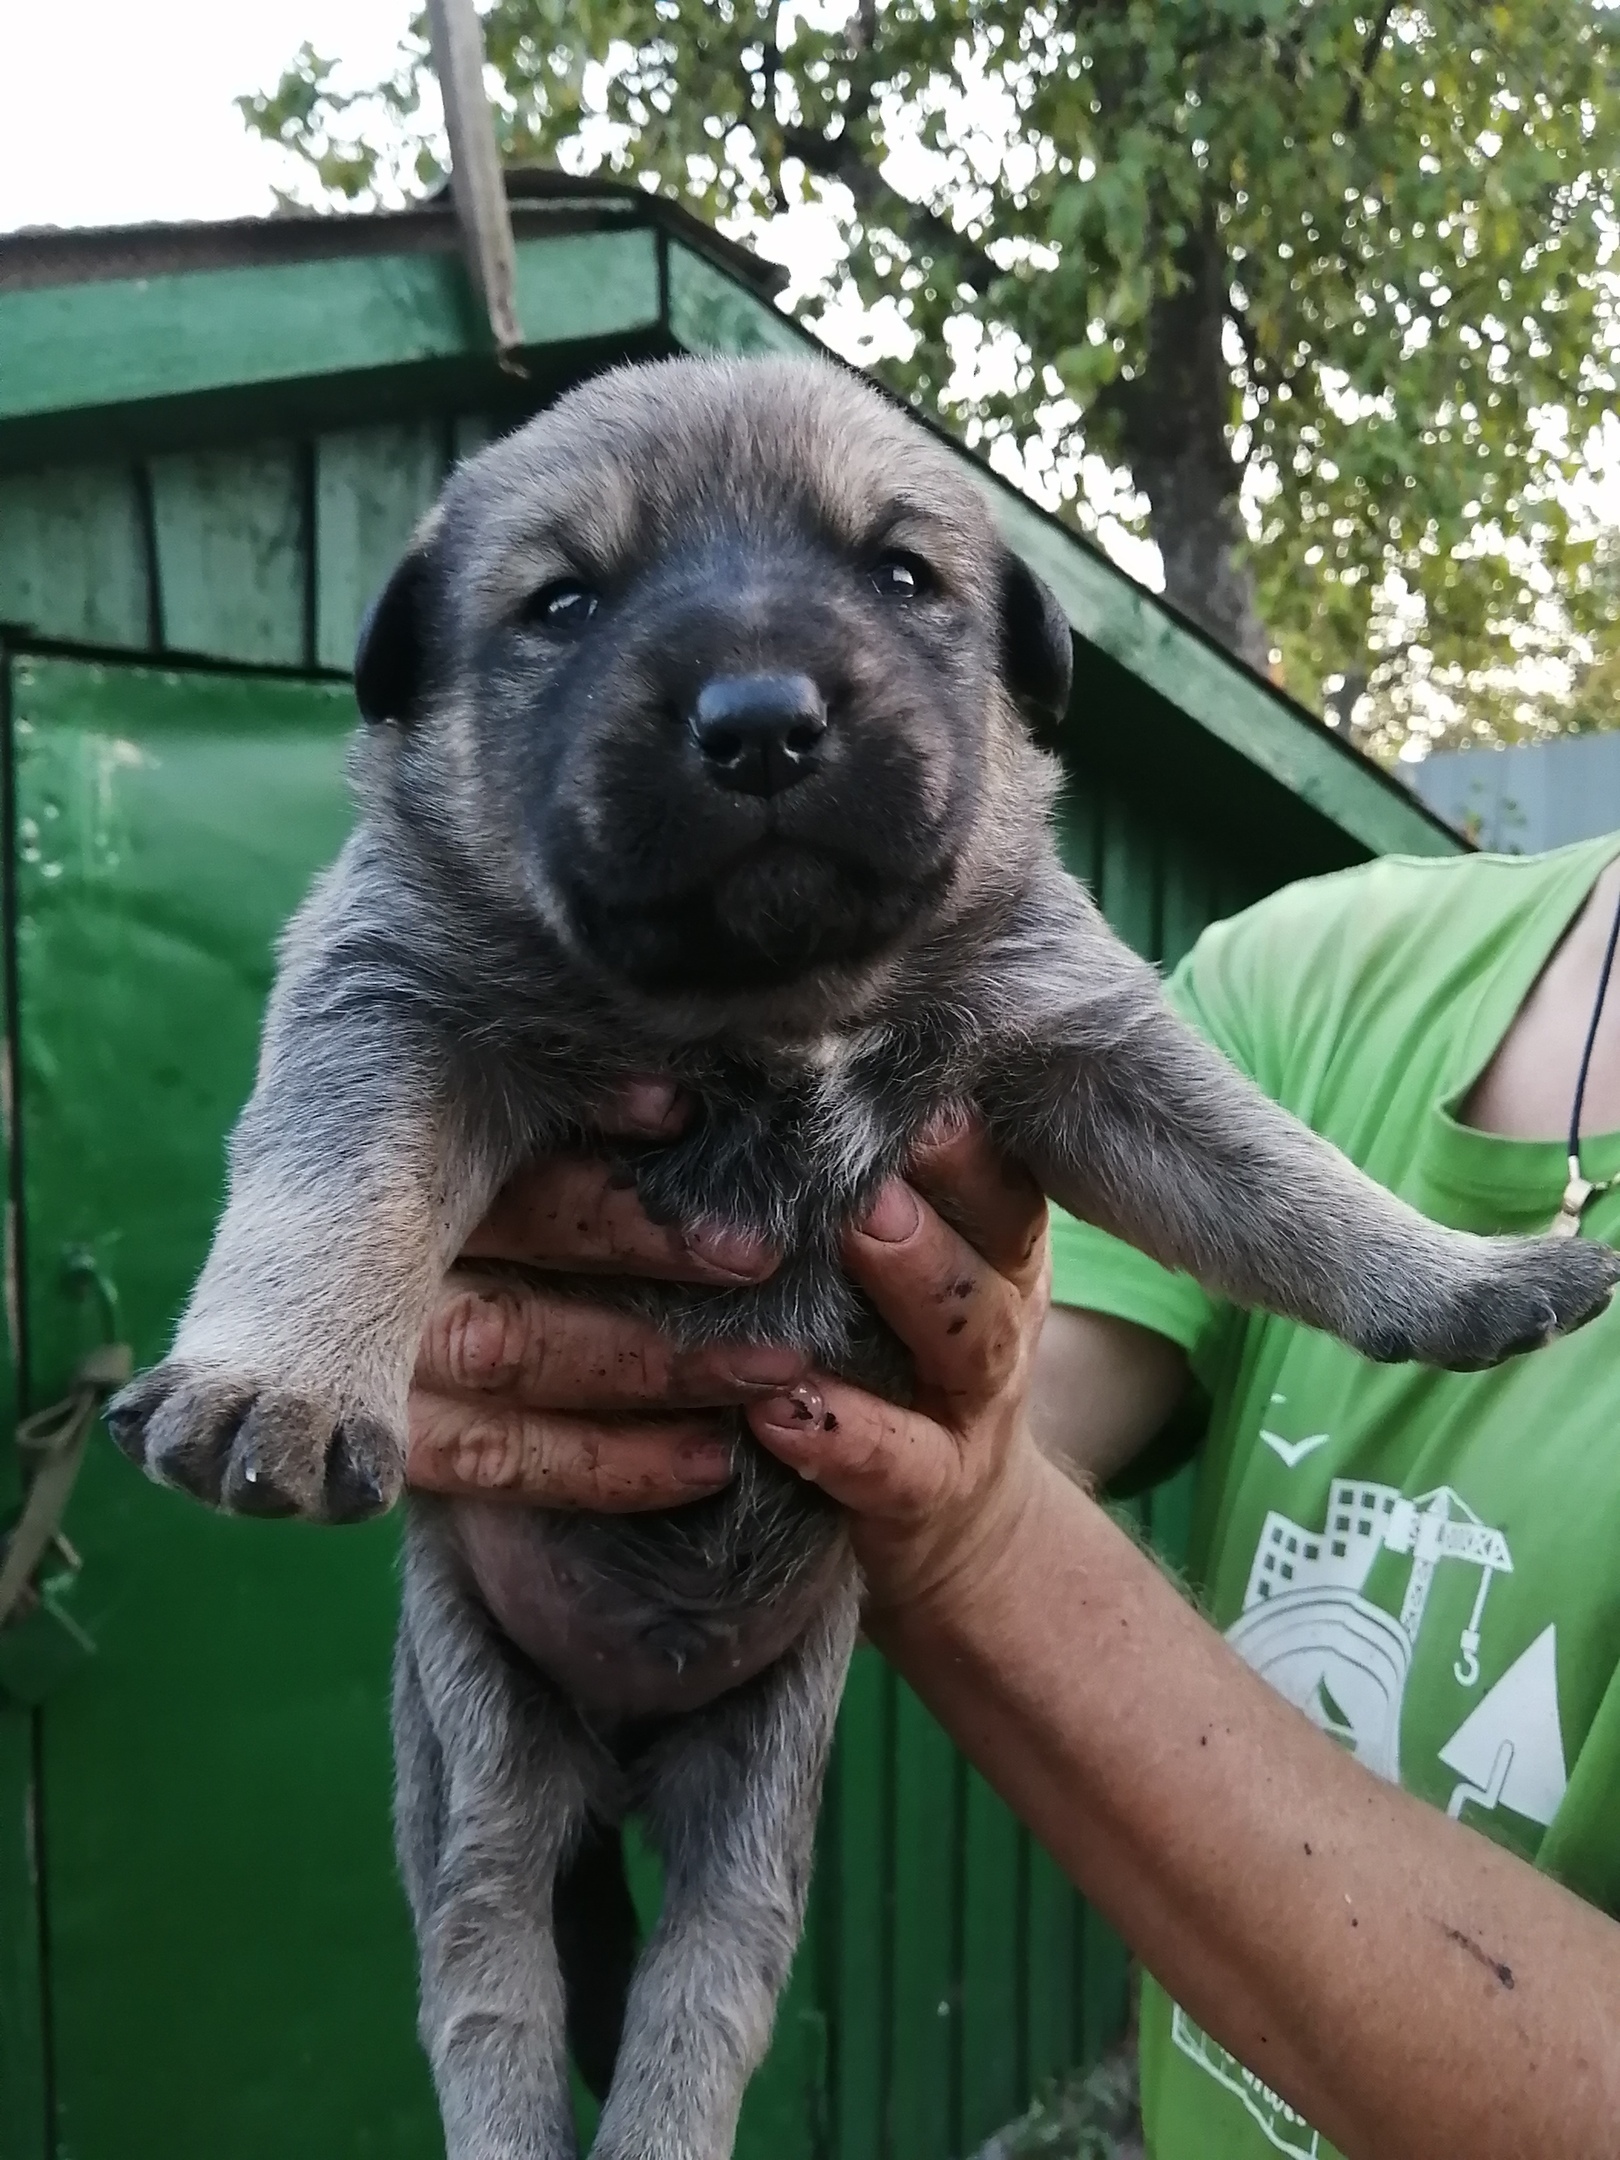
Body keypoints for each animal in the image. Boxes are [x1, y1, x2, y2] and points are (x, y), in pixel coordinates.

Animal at [108, 354, 1615, 2160]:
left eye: (901, 573)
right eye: (564, 601)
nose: (759, 721)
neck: (765, 1011)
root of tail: (623, 1757)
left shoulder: (1084, 1044)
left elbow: (1279, 1178)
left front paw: (1456, 1270)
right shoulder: (392, 1006)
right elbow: (339, 1189)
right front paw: (274, 1378)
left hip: (761, 1791)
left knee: (703, 1997)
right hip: (480, 1751)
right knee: (493, 1983)